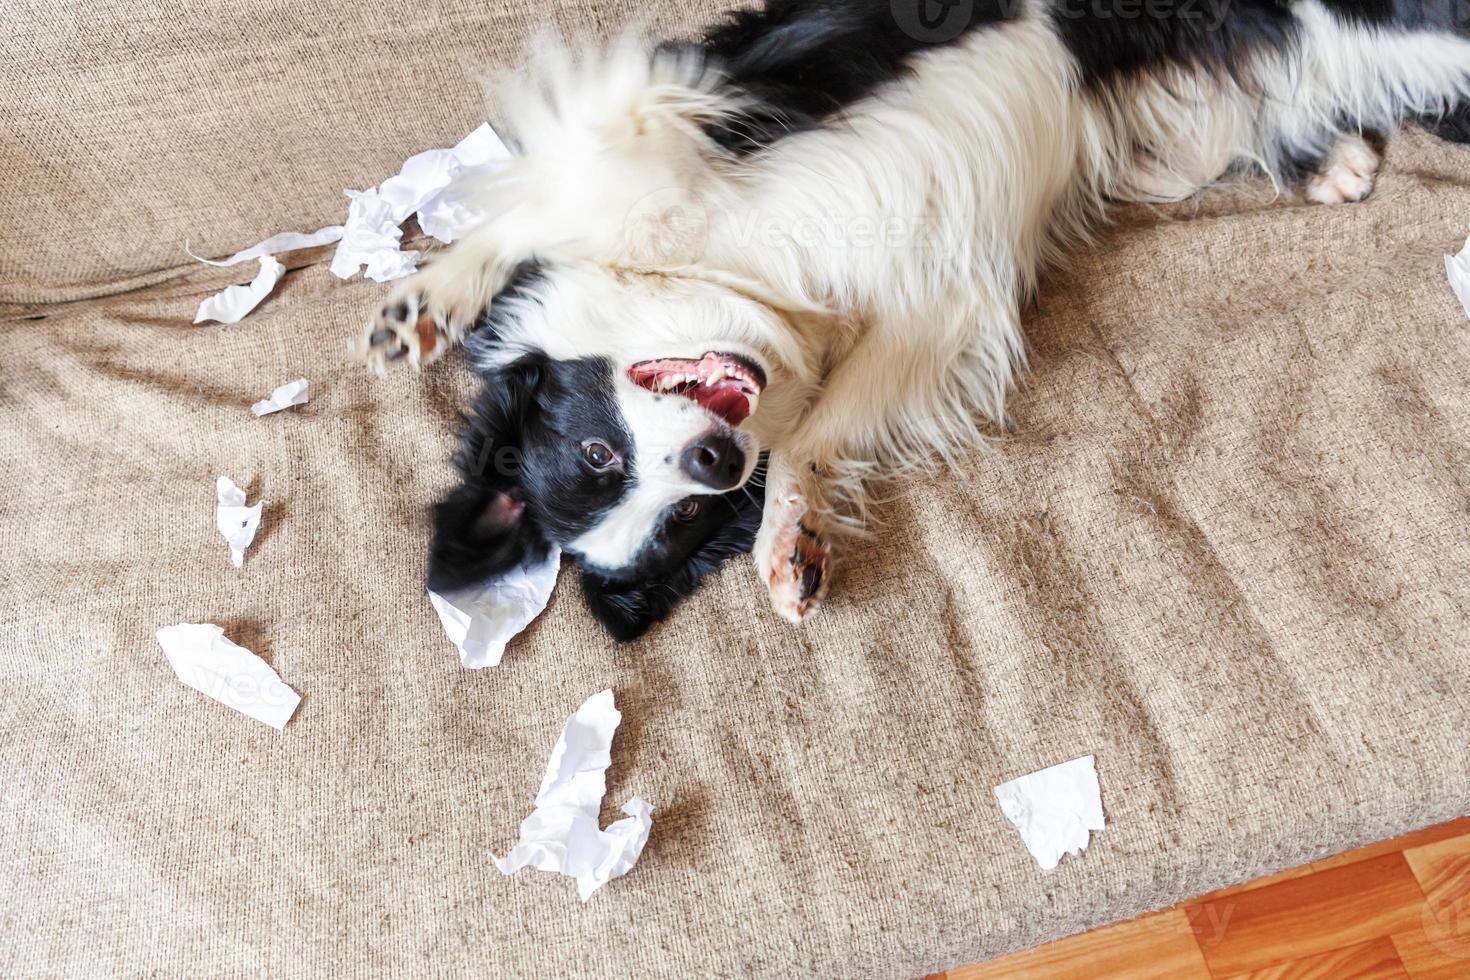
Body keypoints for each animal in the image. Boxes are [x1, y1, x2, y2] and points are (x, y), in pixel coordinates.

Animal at [358, 0, 1470, 640]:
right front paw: (789, 541)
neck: (733, 273)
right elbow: (817, 431)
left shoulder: (693, 100)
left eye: (596, 450)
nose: (717, 461)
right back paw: (1332, 158)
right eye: (677, 519)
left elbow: (550, 192)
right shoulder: (929, 319)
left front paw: (430, 297)